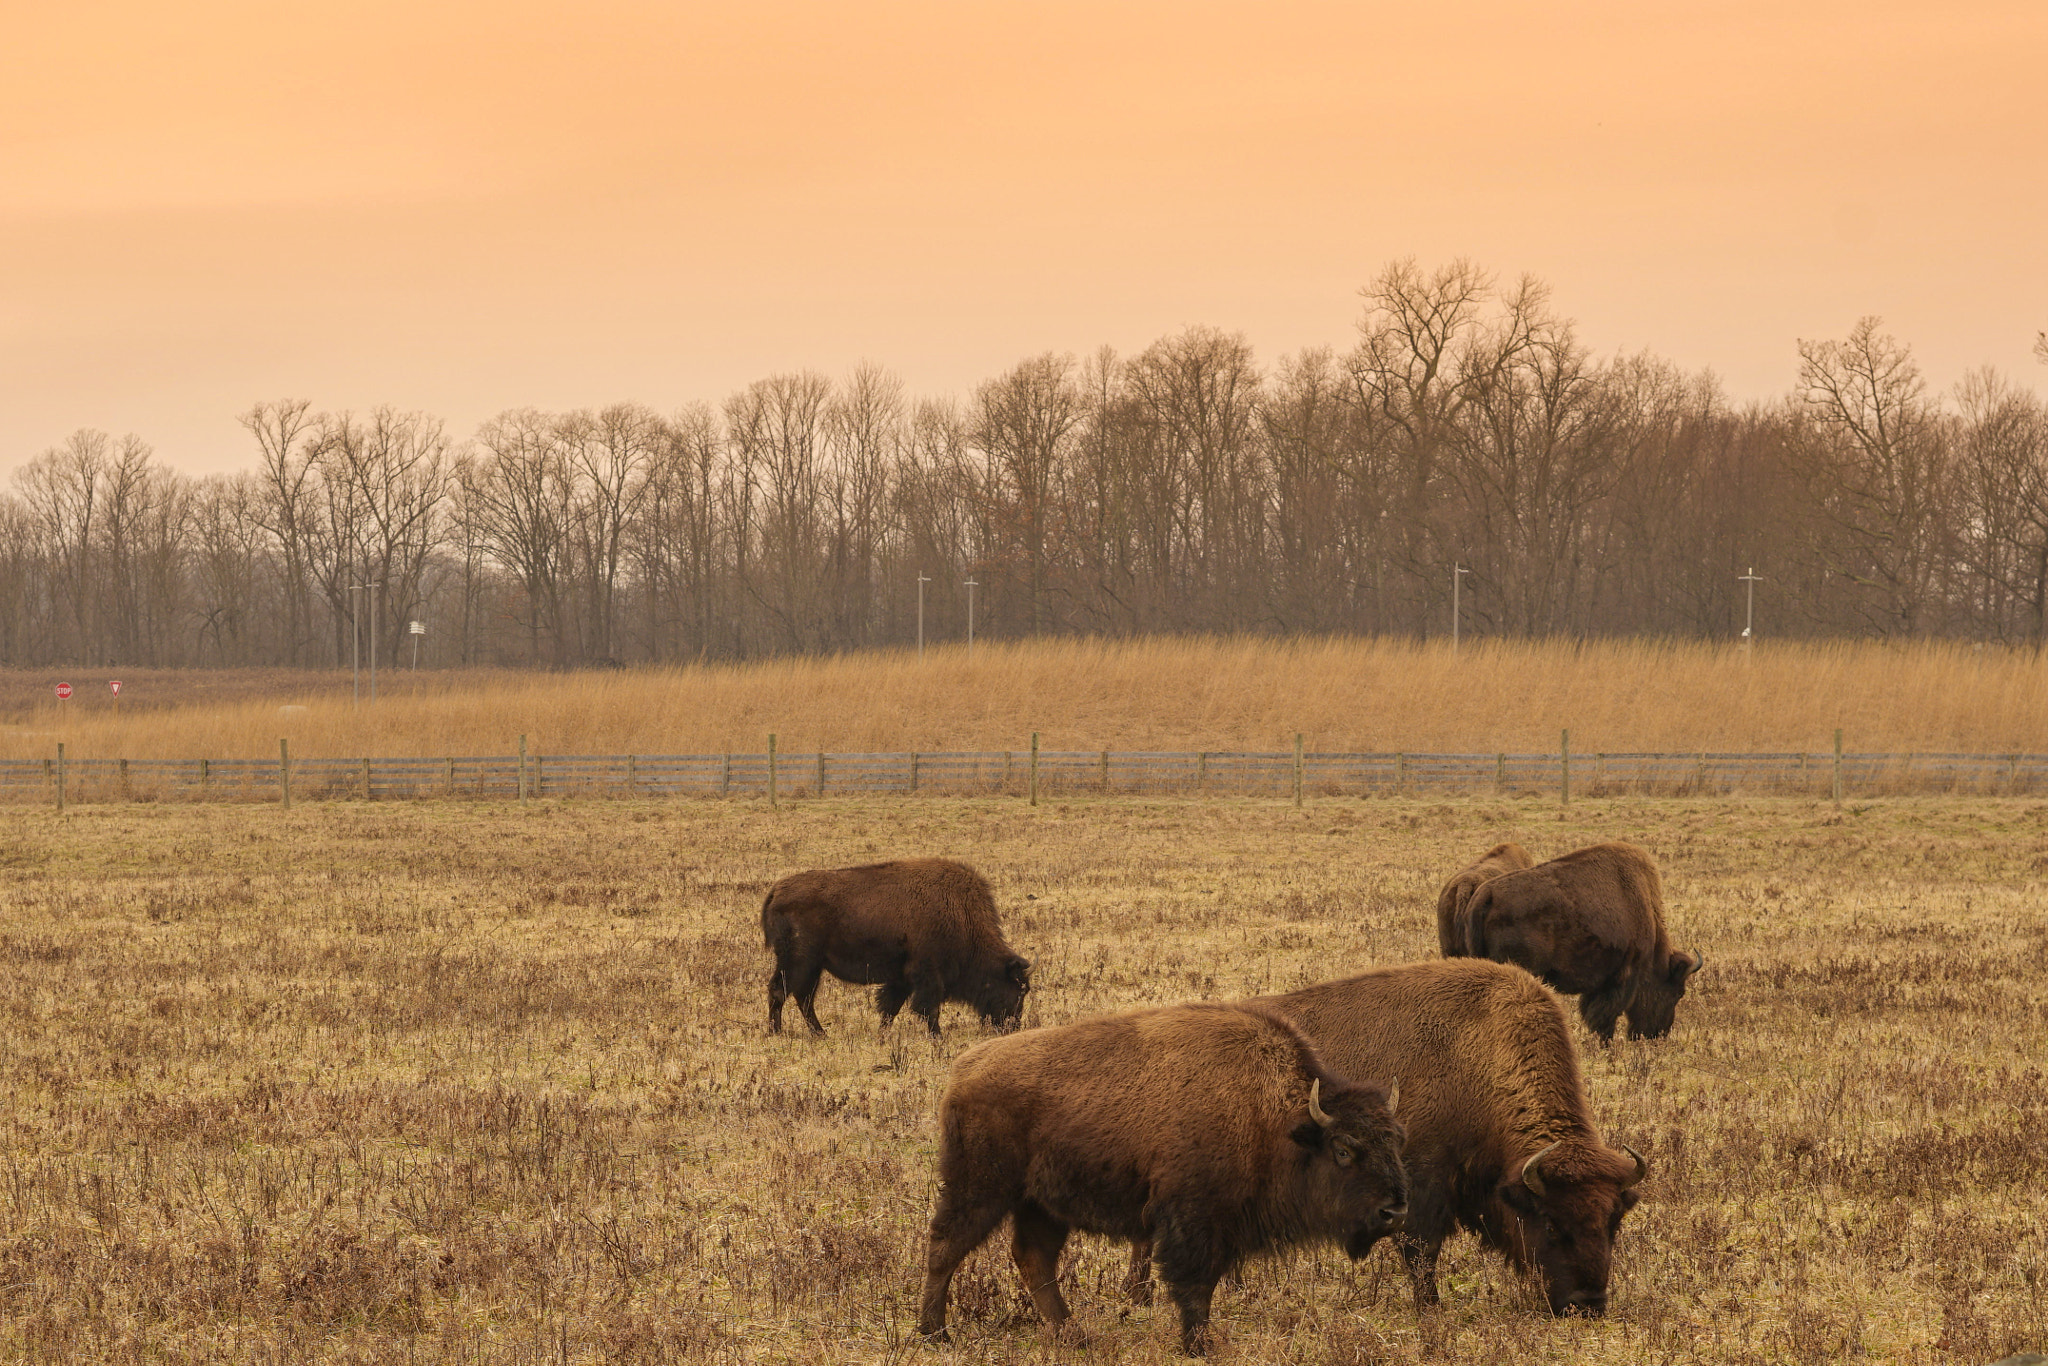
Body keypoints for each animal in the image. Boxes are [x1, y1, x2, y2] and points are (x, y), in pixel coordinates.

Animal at [761, 860, 1032, 1040]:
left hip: (812, 965)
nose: (1012, 1027)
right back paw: (778, 1033)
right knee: (781, 991)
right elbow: (928, 1008)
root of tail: (777, 890)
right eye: (1018, 990)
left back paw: (820, 1034)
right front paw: (937, 1036)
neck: (959, 912)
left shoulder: (902, 977)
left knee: (803, 996)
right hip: (798, 961)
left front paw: (882, 1034)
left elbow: (891, 1007)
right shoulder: (927, 974)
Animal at [917, 1003, 1409, 1359]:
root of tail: (963, 1071)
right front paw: (1199, 1347)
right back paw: (934, 1334)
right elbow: (1194, 1285)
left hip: (1041, 1204)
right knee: (944, 1247)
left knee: (1033, 1259)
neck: (1273, 1117)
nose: (1394, 1211)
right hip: (980, 1189)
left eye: (1396, 1142)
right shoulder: (1192, 1221)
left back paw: (1074, 1336)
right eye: (1343, 1150)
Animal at [1122, 958, 1646, 1318]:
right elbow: (1421, 1252)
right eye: (1553, 1223)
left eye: (1613, 1222)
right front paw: (1430, 1309)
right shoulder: (1420, 1189)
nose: (1588, 1303)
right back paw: (1139, 1298)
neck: (1478, 1059)